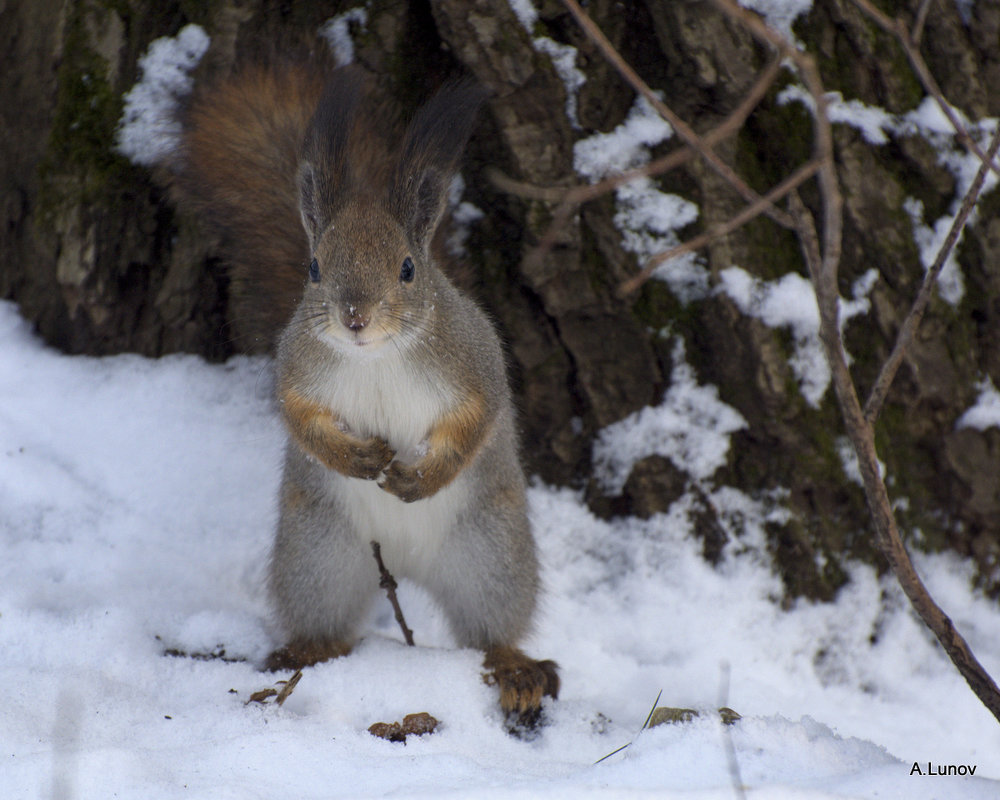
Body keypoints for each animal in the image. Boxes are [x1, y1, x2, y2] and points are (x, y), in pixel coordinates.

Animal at [175, 59, 560, 720]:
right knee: (324, 619)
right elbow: (300, 418)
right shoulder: (297, 369)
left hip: (491, 555)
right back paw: (304, 653)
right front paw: (358, 458)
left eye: (408, 268)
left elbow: (476, 421)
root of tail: (403, 565)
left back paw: (515, 670)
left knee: (493, 628)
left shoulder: (474, 364)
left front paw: (420, 477)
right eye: (314, 267)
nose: (355, 318)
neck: (377, 357)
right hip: (318, 558)